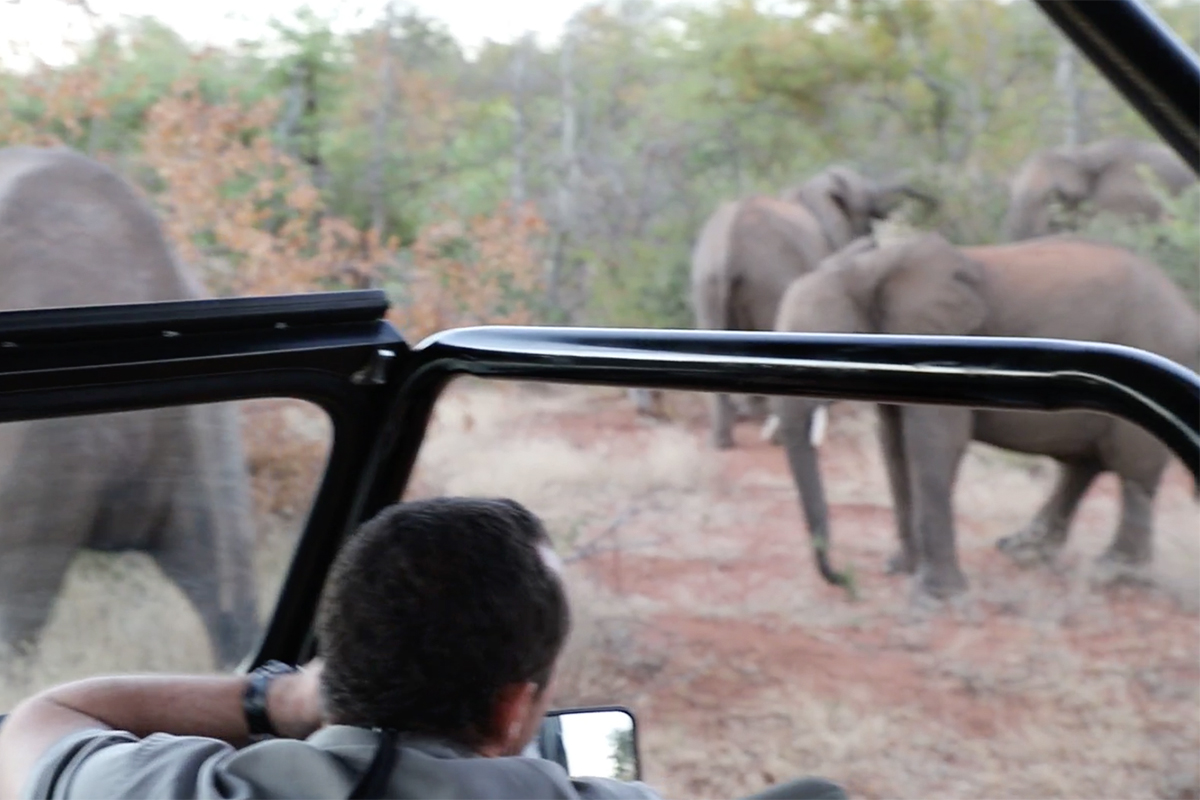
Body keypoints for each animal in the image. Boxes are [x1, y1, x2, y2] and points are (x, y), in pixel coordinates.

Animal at [691, 166, 931, 450]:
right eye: (867, 202)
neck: (807, 190)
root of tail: (730, 247)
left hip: (707, 285)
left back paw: (723, 443)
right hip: (770, 282)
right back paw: (780, 436)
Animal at [772, 227, 1195, 597]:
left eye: (824, 345)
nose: (842, 578)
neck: (868, 270)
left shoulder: (939, 344)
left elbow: (933, 443)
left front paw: (936, 596)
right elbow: (894, 447)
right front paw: (900, 569)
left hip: (1155, 342)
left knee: (1132, 472)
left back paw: (1115, 573)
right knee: (1083, 466)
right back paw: (1024, 551)